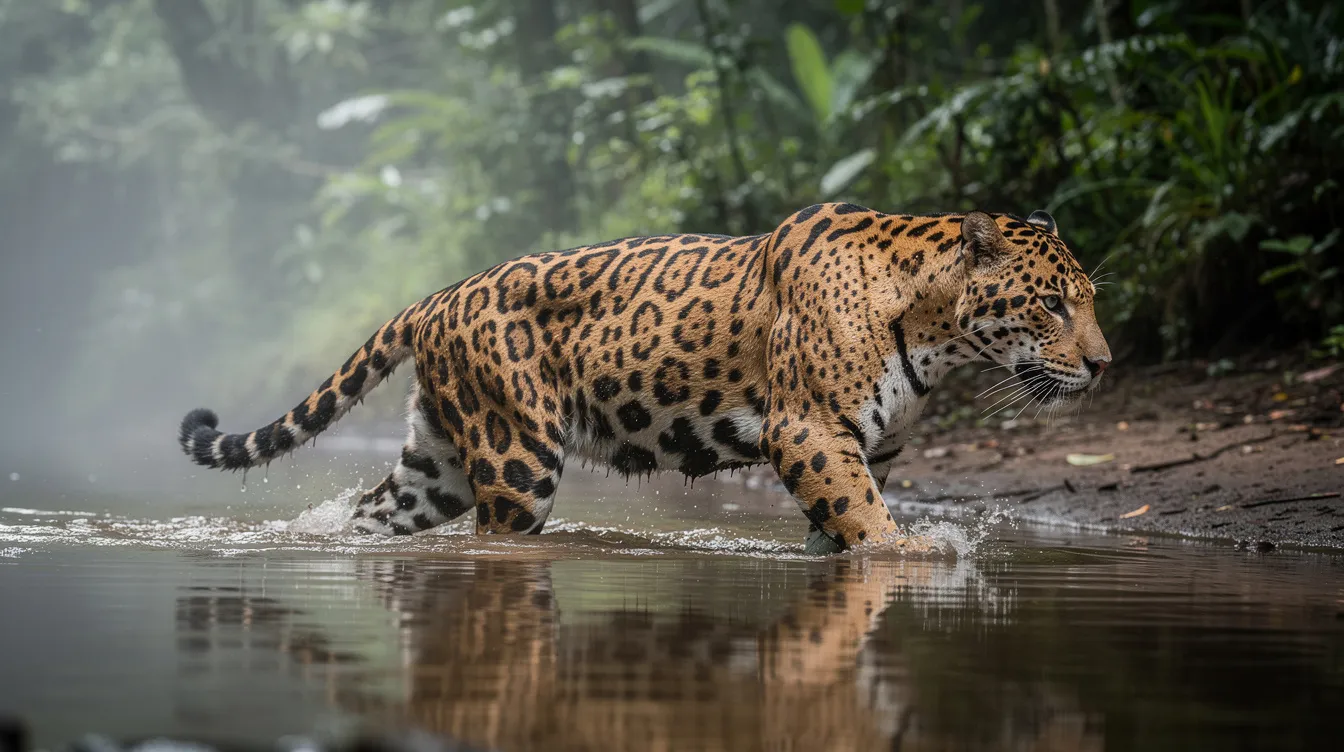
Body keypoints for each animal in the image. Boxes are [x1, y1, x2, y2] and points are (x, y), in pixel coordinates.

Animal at [178, 203, 1111, 553]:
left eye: (1090, 301)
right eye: (1053, 304)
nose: (1104, 362)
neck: (931, 326)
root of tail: (437, 297)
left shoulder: (864, 449)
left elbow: (842, 529)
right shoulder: (808, 430)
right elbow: (871, 527)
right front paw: (914, 557)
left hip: (436, 463)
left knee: (379, 510)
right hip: (516, 458)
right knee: (495, 533)